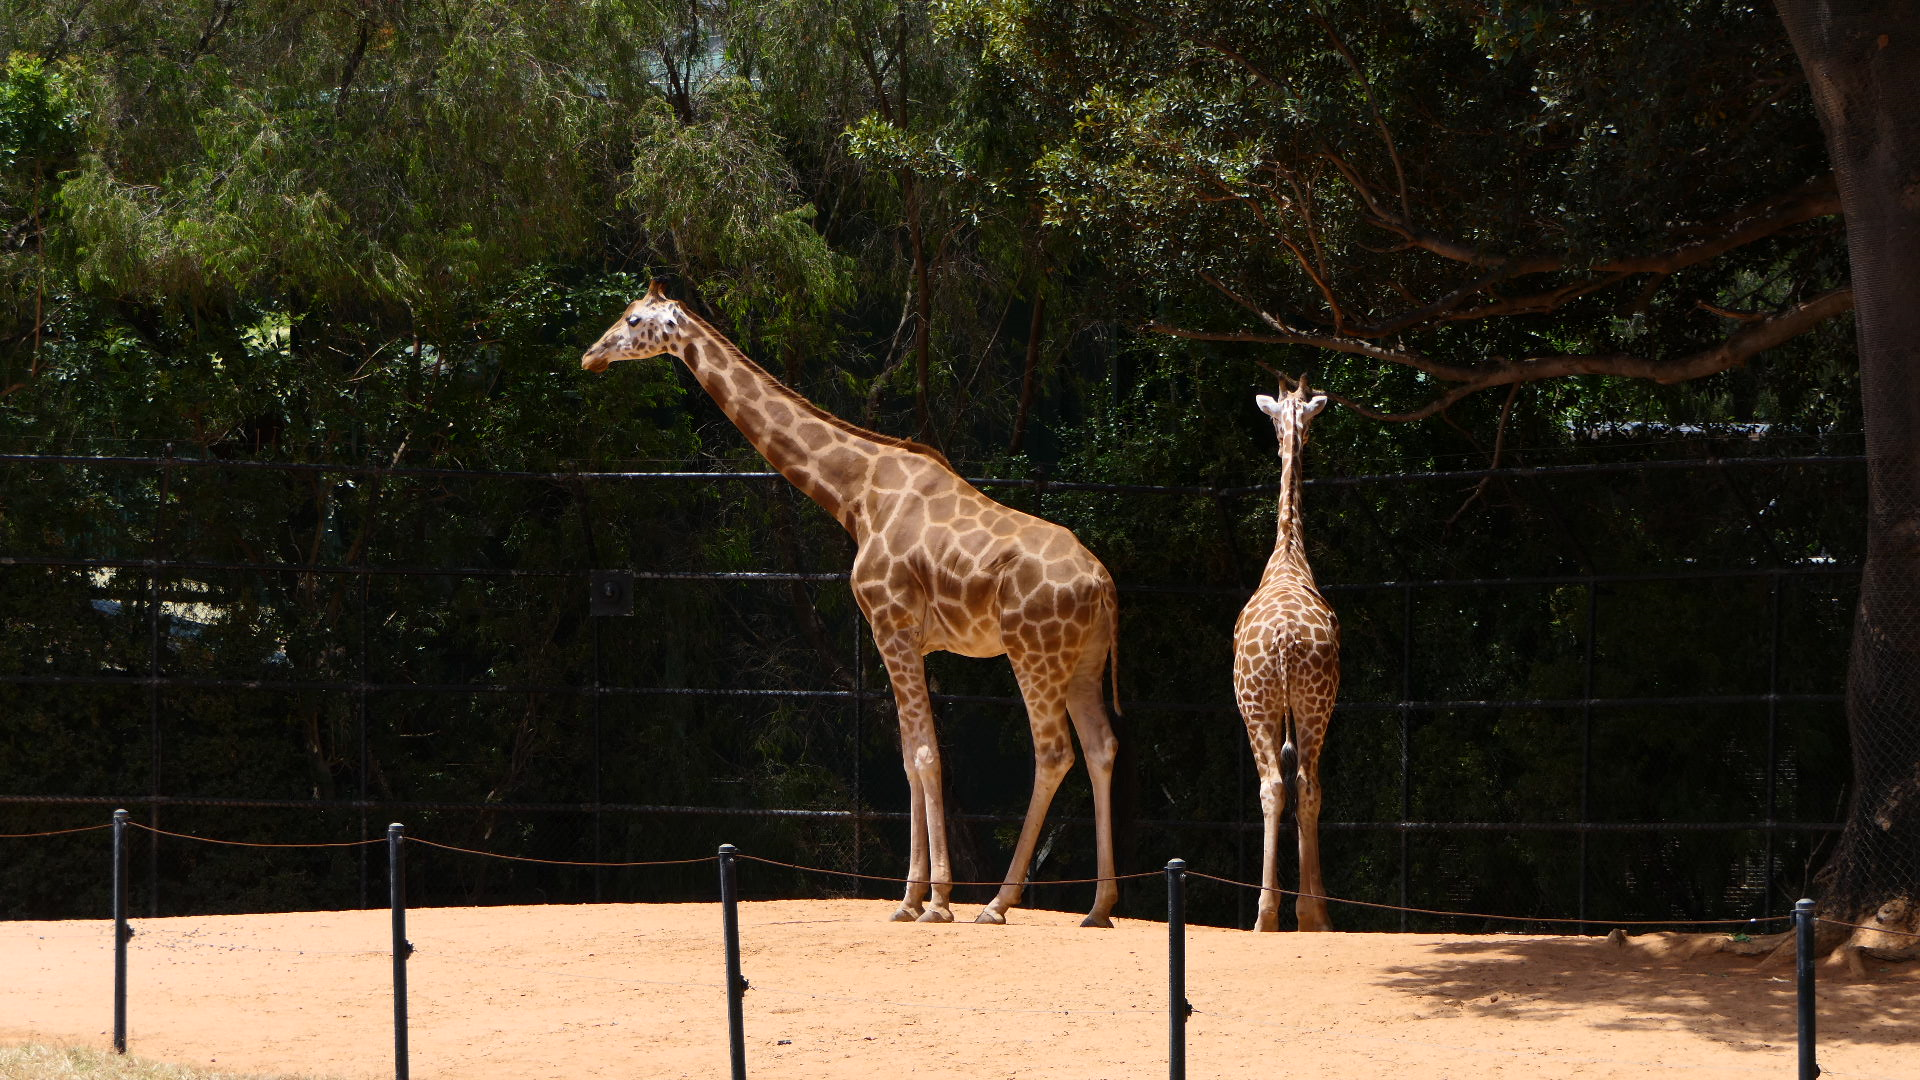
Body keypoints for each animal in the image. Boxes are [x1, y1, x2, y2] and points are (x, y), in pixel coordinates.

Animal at [582, 282, 1122, 926]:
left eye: (632, 318)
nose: (590, 355)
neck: (855, 492)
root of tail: (1103, 585)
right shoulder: (904, 638)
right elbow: (910, 757)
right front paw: (911, 898)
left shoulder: (892, 624)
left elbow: (923, 755)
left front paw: (935, 900)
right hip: (1083, 660)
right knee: (1101, 747)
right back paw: (1099, 906)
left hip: (1033, 652)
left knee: (1054, 752)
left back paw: (997, 902)